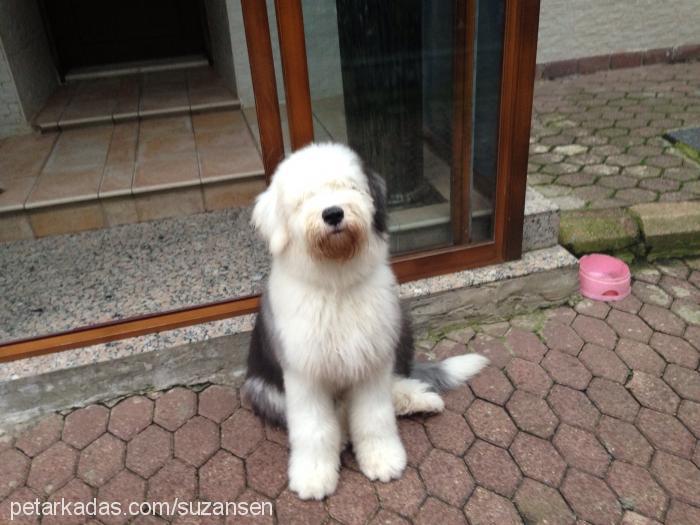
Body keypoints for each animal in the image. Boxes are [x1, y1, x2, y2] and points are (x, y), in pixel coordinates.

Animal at [243, 142, 490, 500]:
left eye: (350, 187)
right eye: (305, 197)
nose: (333, 213)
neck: (337, 286)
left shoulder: (372, 362)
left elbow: (374, 418)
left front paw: (383, 459)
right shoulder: (305, 376)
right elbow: (314, 429)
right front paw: (314, 476)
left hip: (400, 329)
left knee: (393, 390)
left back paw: (422, 400)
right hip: (263, 390)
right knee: (336, 420)